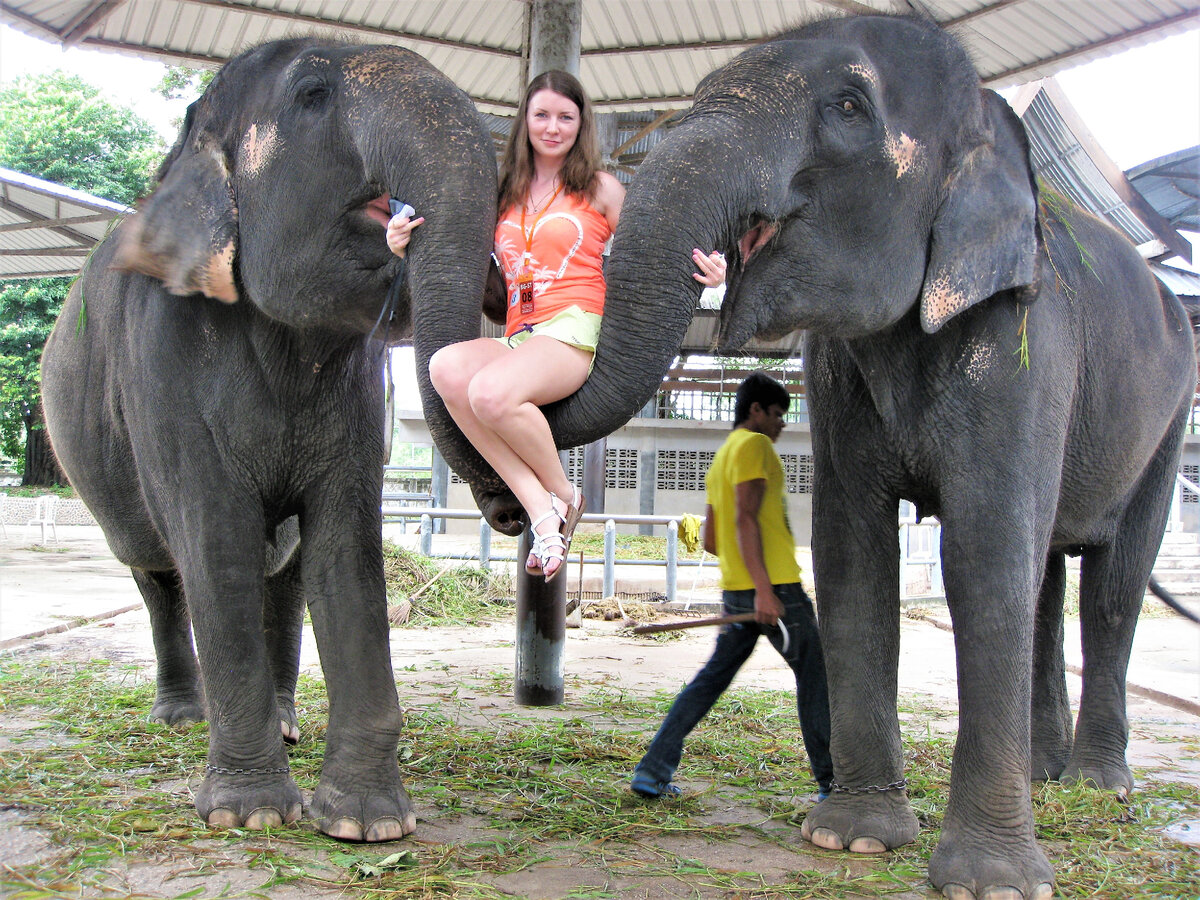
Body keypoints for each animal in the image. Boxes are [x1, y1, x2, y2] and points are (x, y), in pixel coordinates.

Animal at [41, 40, 501, 844]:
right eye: (313, 94)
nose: (508, 510)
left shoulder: (356, 397)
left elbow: (344, 549)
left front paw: (369, 826)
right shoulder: (163, 369)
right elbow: (215, 542)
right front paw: (249, 816)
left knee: (281, 576)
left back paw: (286, 724)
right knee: (158, 571)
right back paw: (181, 718)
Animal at [537, 12, 1200, 900]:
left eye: (849, 107)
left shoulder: (1028, 339)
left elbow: (985, 554)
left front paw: (990, 884)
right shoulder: (839, 370)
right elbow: (853, 550)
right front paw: (849, 839)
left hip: (1168, 418)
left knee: (1112, 585)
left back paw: (1097, 785)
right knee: (1050, 577)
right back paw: (1045, 774)